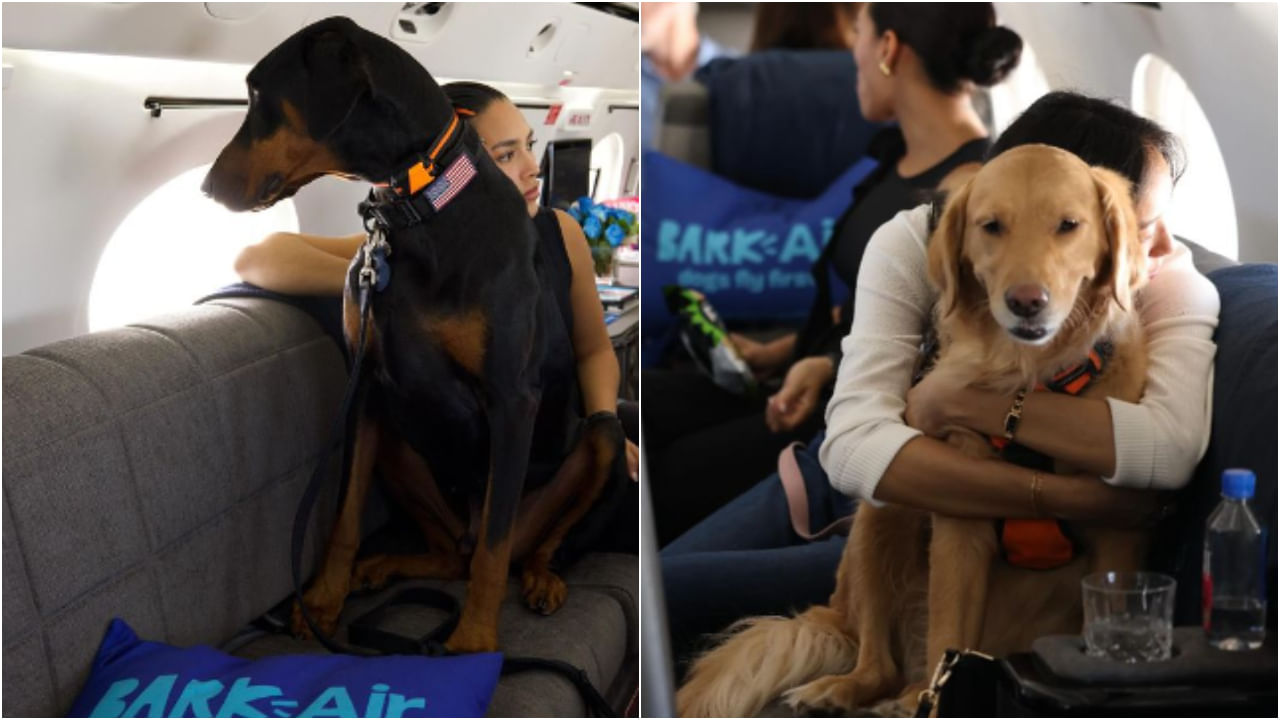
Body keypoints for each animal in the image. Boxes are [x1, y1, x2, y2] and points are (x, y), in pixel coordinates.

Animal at [680, 142, 1152, 712]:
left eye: (1069, 225)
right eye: (991, 226)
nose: (1025, 301)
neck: (1030, 379)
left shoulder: (1118, 537)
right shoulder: (961, 520)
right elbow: (950, 627)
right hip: (878, 515)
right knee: (881, 662)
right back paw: (858, 689)